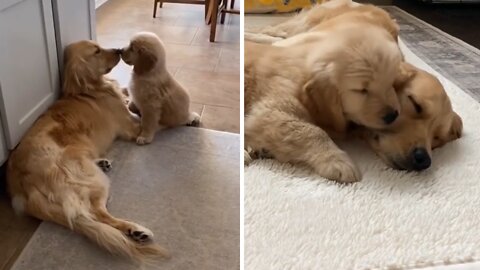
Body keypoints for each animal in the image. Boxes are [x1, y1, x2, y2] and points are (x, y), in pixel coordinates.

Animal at [6, 40, 170, 262]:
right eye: (96, 51)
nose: (118, 50)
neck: (90, 89)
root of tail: (22, 182)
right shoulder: (132, 127)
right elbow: (154, 122)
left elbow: (128, 94)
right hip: (94, 180)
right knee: (98, 213)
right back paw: (135, 230)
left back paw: (103, 163)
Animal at [246, 22, 404, 184]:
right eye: (361, 90)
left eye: (390, 83)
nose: (392, 115)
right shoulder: (270, 111)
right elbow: (313, 131)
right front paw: (338, 162)